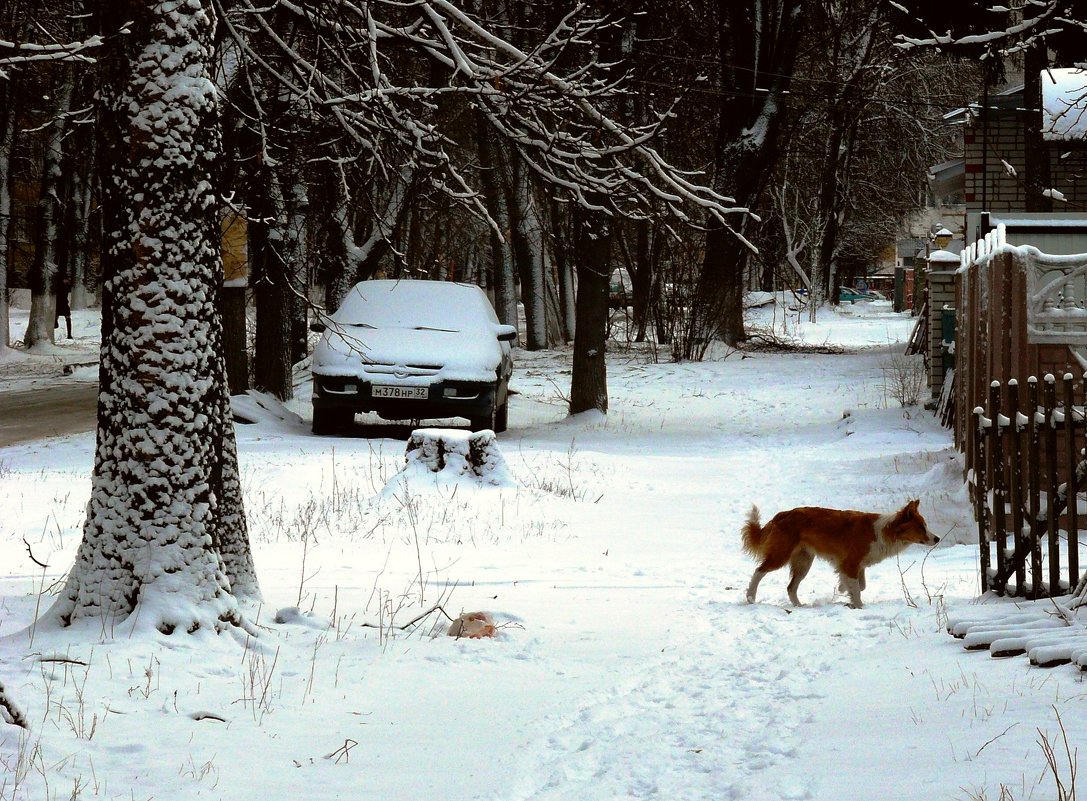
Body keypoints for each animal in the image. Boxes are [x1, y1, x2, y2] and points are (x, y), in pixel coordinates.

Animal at [743, 499, 939, 604]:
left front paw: (842, 588)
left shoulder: (857, 565)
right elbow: (857, 589)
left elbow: (860, 585)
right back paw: (751, 597)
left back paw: (799, 606)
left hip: (804, 562)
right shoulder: (851, 563)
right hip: (781, 555)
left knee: (791, 587)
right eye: (921, 527)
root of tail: (782, 514)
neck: (884, 531)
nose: (937, 539)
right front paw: (858, 605)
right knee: (759, 571)